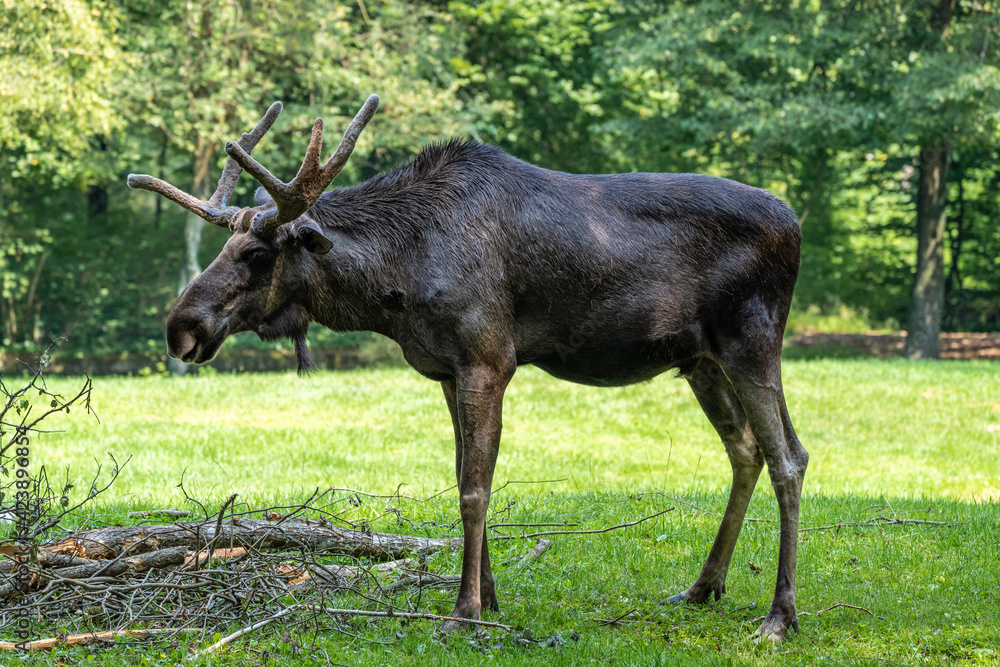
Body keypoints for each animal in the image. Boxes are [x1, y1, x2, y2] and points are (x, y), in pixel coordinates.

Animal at [127, 95, 808, 643]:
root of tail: (797, 225)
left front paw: (465, 611)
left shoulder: (489, 359)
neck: (395, 282)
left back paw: (778, 618)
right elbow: (461, 474)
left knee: (788, 457)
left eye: (258, 254)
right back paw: (703, 587)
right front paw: (490, 596)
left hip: (752, 337)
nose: (181, 328)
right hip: (699, 358)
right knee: (746, 448)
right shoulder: (446, 370)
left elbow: (475, 488)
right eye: (225, 245)